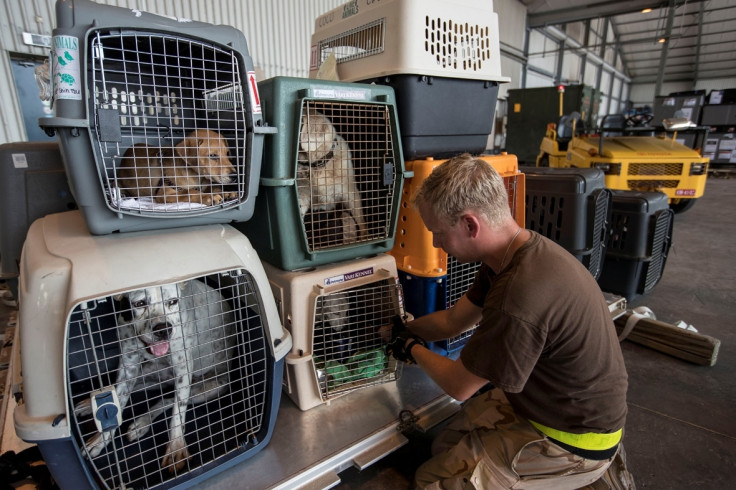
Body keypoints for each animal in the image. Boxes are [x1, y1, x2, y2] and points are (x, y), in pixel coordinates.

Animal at [73, 282, 234, 472]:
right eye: (139, 303)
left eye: (173, 301)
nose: (163, 329)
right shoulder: (129, 365)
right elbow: (117, 403)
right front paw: (100, 440)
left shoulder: (183, 367)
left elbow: (178, 413)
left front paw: (175, 448)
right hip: (149, 372)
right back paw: (92, 404)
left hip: (210, 387)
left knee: (168, 400)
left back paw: (142, 423)